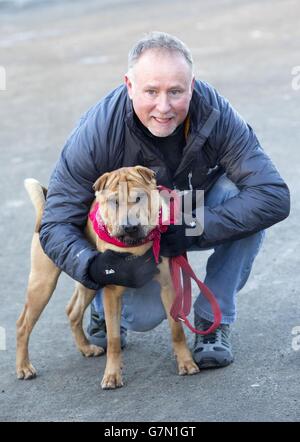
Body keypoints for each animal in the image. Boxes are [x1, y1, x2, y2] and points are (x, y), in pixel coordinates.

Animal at [15, 167, 199, 390]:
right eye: (114, 202)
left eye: (139, 198)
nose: (130, 226)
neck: (135, 245)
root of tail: (47, 208)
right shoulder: (111, 293)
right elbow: (113, 339)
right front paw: (112, 375)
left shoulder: (168, 286)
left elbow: (177, 329)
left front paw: (186, 362)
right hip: (44, 283)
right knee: (23, 324)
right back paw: (24, 367)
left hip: (88, 276)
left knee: (72, 311)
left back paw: (86, 348)